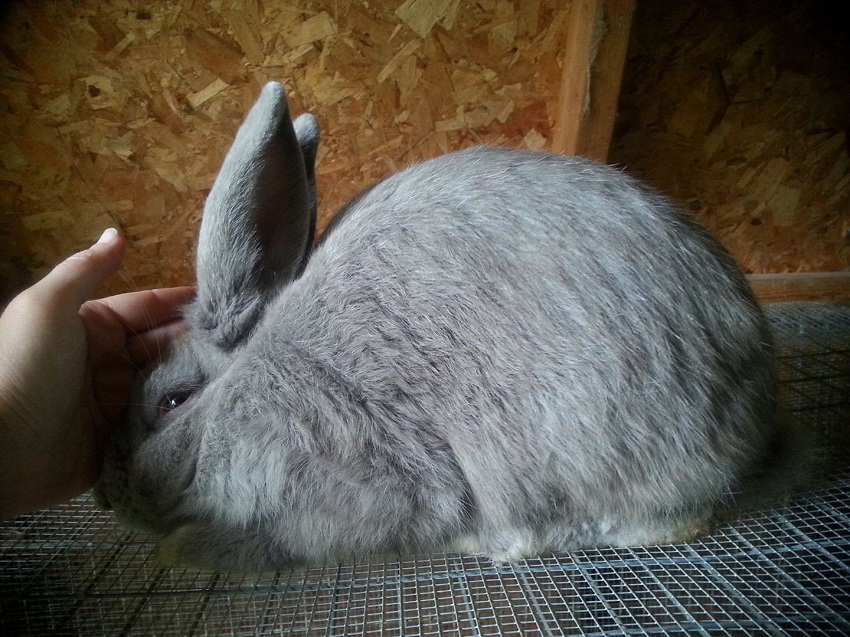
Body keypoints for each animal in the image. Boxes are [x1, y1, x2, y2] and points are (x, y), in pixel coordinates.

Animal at [93, 81, 783, 572]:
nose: (105, 496)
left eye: (172, 401)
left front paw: (187, 549)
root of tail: (756, 401)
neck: (236, 391)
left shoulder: (358, 477)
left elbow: (290, 541)